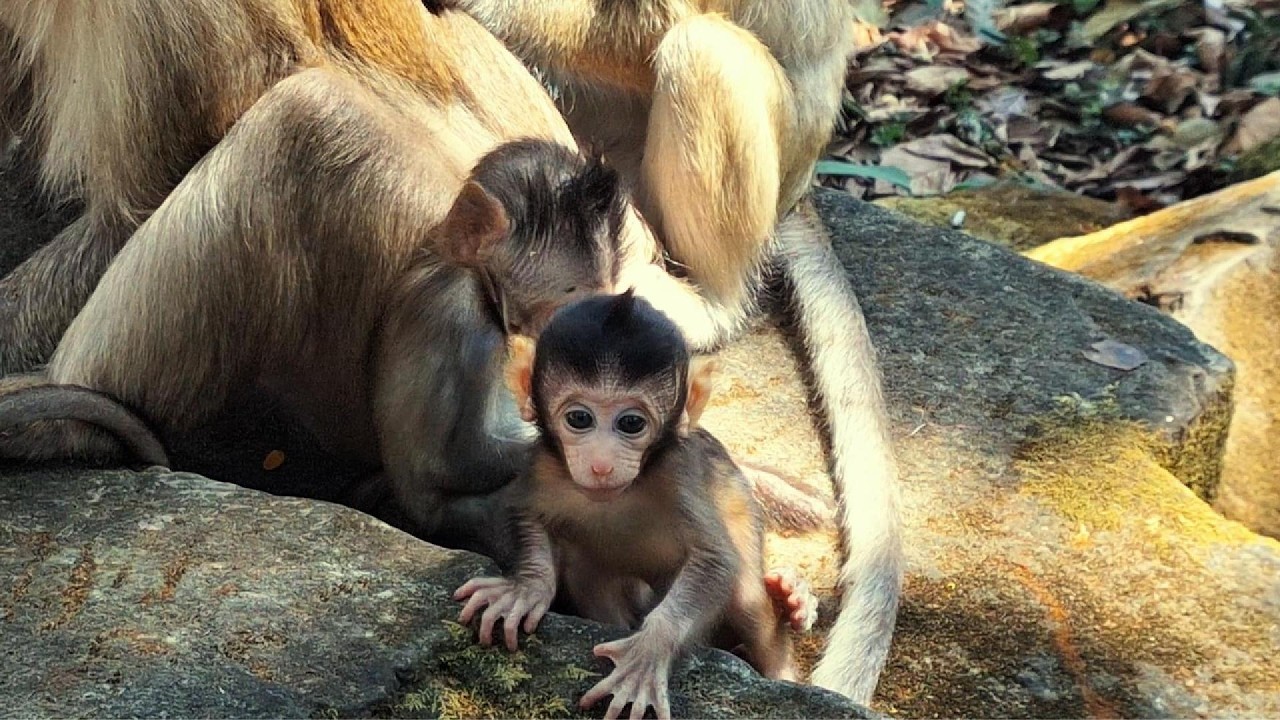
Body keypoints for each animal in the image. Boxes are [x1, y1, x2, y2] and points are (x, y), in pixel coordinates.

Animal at [454, 291, 816, 720]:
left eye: (631, 424)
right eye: (579, 418)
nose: (602, 463)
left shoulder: (679, 471)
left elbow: (715, 560)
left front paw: (648, 652)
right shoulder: (542, 464)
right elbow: (528, 516)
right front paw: (526, 588)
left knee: (746, 596)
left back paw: (786, 628)